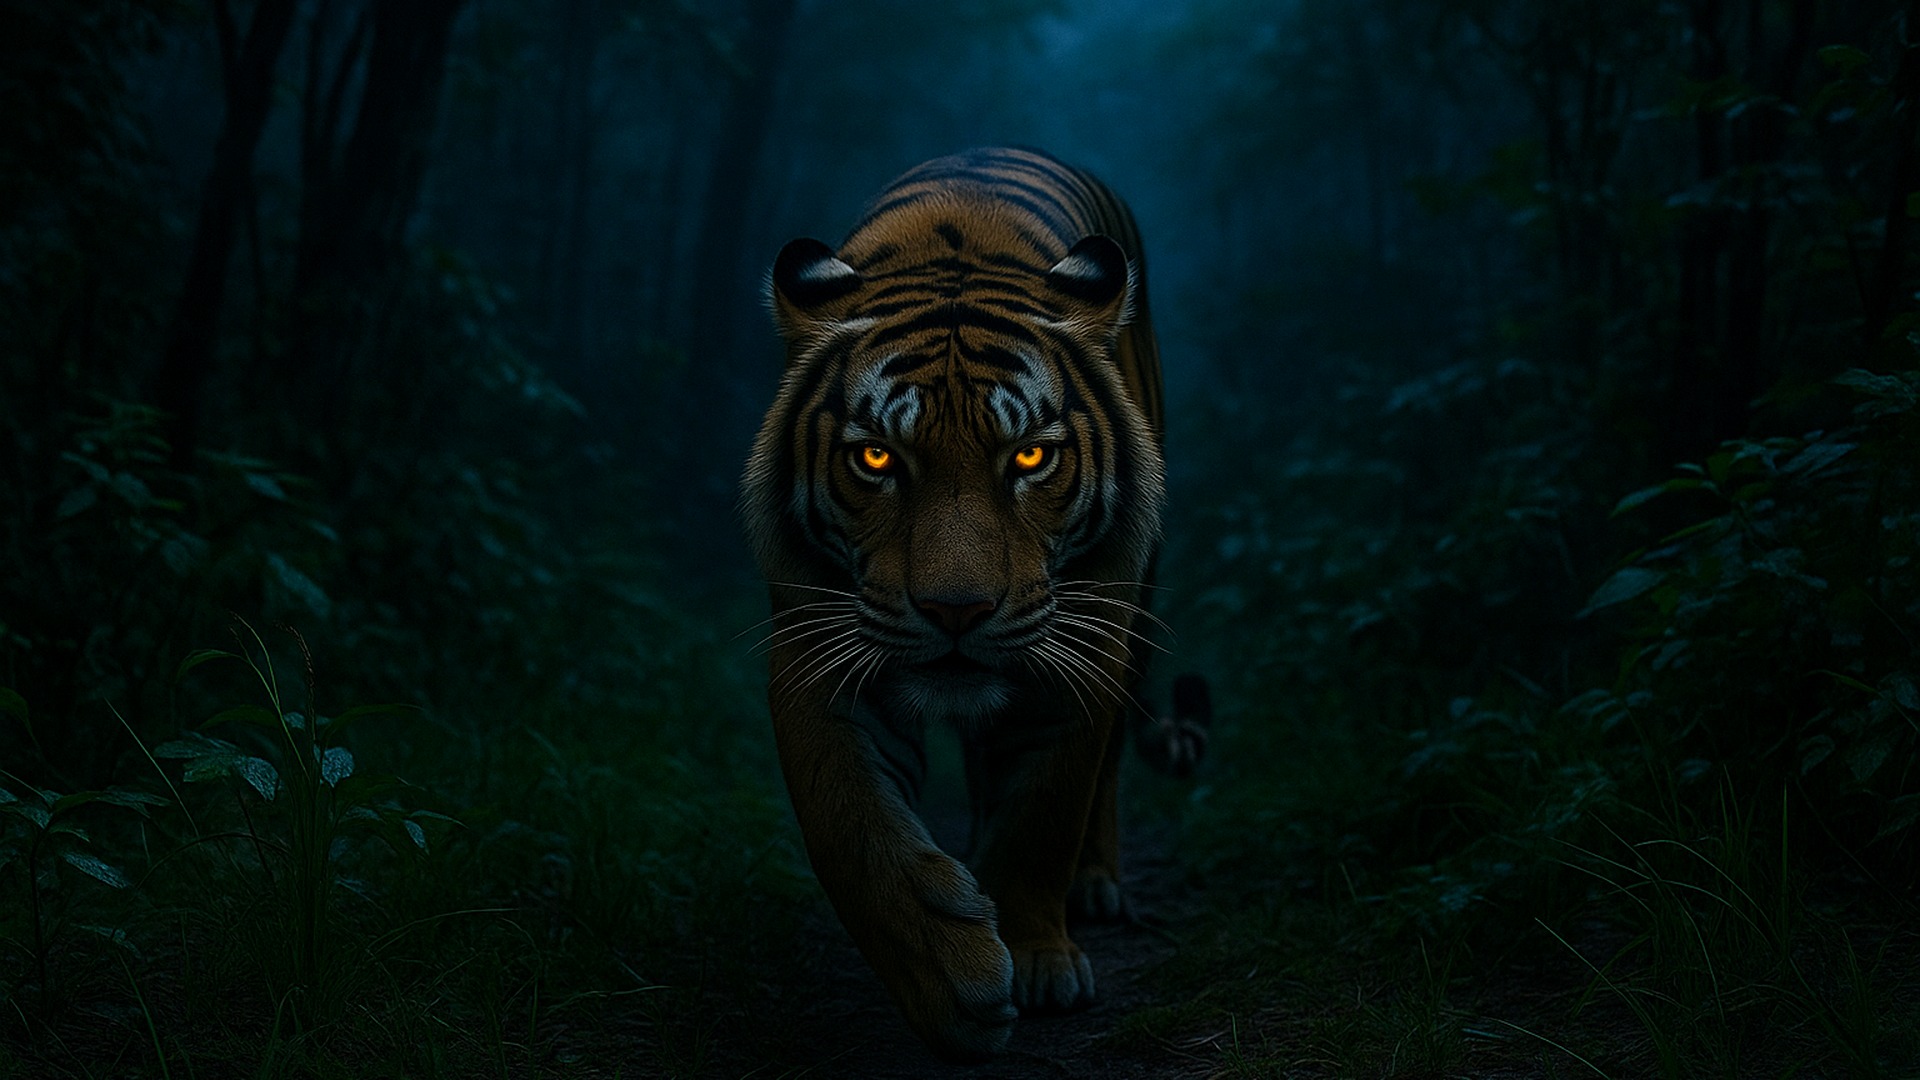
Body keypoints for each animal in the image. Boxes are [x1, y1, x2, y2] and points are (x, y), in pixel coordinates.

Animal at [741, 146, 1208, 1061]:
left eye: (1028, 456)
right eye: (878, 458)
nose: (956, 611)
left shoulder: (1080, 648)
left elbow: (1044, 813)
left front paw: (1034, 960)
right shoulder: (817, 648)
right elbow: (850, 827)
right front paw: (950, 982)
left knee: (1101, 773)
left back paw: (1093, 886)